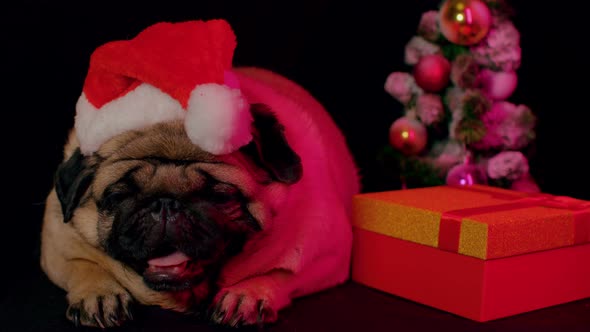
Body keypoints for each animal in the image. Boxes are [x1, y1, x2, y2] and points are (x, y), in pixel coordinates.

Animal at [40, 20, 360, 330]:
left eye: (221, 197)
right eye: (119, 196)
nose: (165, 204)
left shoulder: (328, 255)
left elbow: (281, 272)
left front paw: (247, 292)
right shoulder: (57, 243)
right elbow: (83, 263)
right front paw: (98, 292)